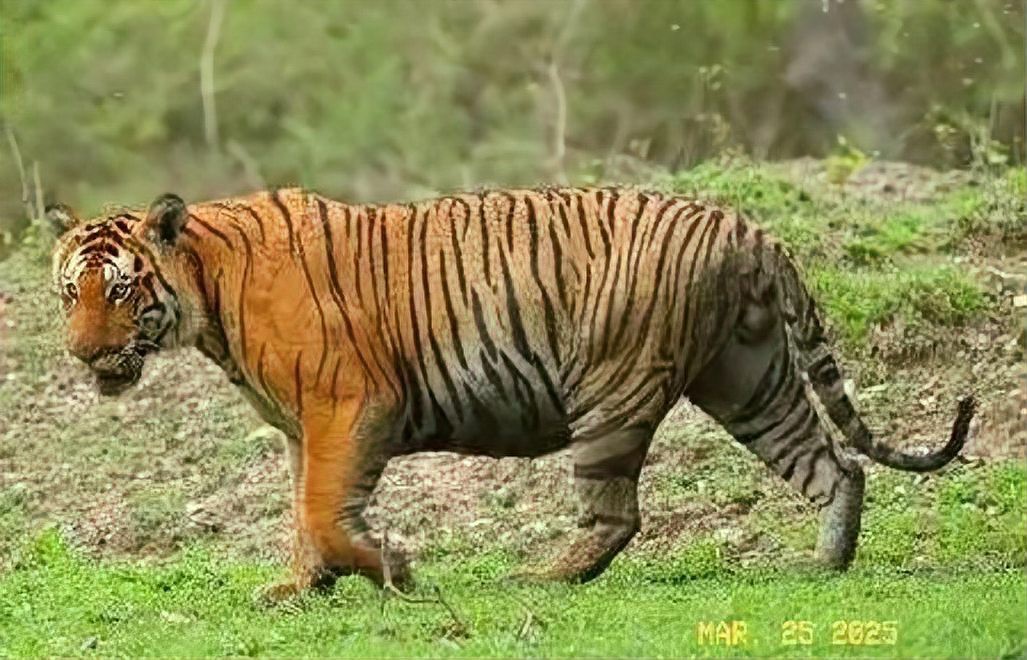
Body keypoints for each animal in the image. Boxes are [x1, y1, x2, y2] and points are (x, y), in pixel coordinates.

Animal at [49, 186, 975, 602]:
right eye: (70, 292)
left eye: (122, 290)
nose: (85, 353)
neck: (204, 292)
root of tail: (748, 228)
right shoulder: (298, 427)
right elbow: (302, 511)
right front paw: (301, 588)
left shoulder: (348, 404)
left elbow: (322, 508)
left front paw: (392, 571)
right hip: (748, 379)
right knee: (832, 465)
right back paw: (822, 565)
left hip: (610, 389)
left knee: (616, 513)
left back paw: (542, 576)